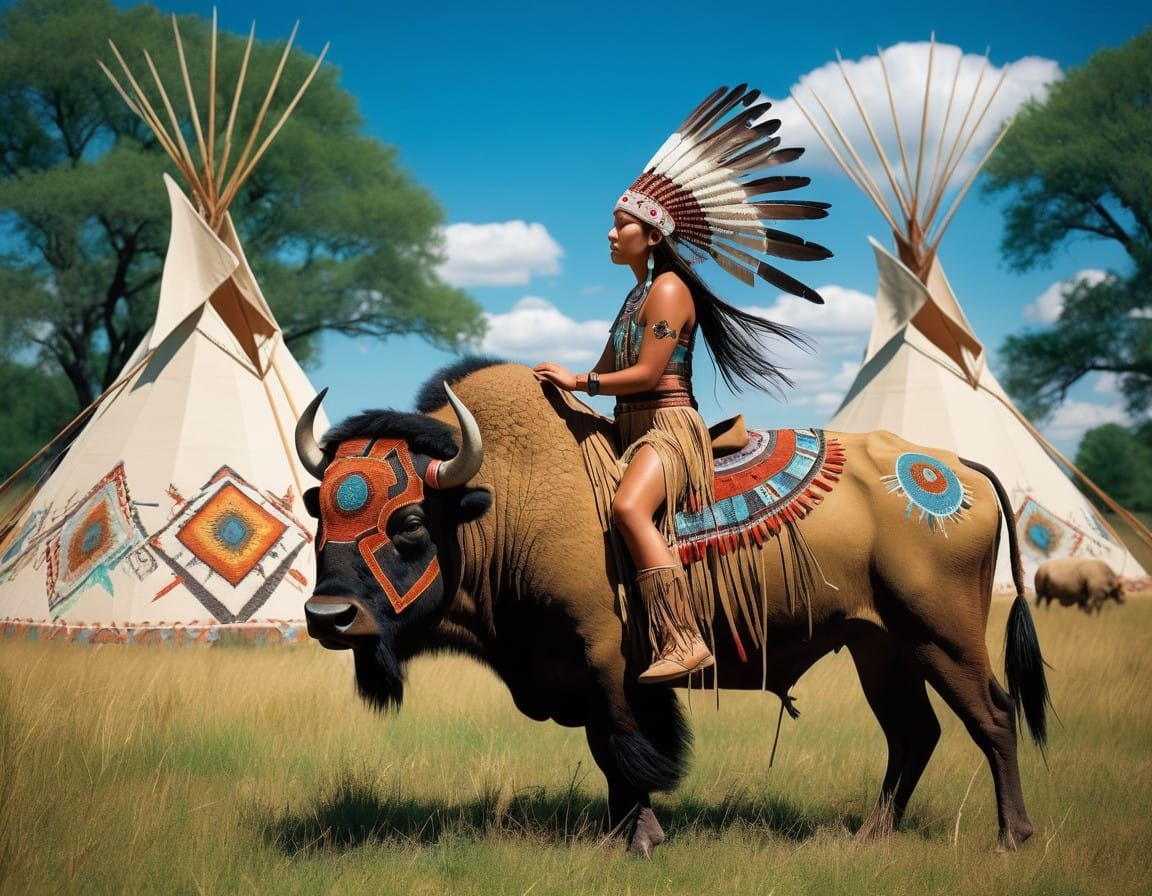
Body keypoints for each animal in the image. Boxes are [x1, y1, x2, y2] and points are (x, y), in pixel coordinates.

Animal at [295, 360, 1048, 855]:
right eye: (318, 515)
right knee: (913, 734)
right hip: (879, 648)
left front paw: (639, 839)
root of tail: (956, 464)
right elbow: (617, 757)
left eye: (409, 522)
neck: (502, 497)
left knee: (991, 716)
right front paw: (619, 836)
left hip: (942, 637)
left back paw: (1013, 836)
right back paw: (870, 836)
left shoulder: (604, 660)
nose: (329, 617)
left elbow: (621, 747)